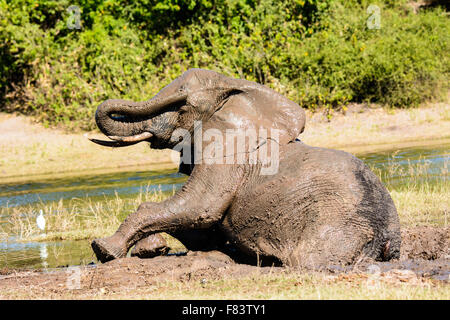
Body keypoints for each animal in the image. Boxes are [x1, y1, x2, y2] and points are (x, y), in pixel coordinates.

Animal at [89, 68, 400, 268]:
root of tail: (387, 236)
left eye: (182, 107)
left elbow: (199, 209)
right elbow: (202, 228)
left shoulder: (227, 156)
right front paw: (153, 249)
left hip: (337, 227)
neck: (235, 88)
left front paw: (104, 250)